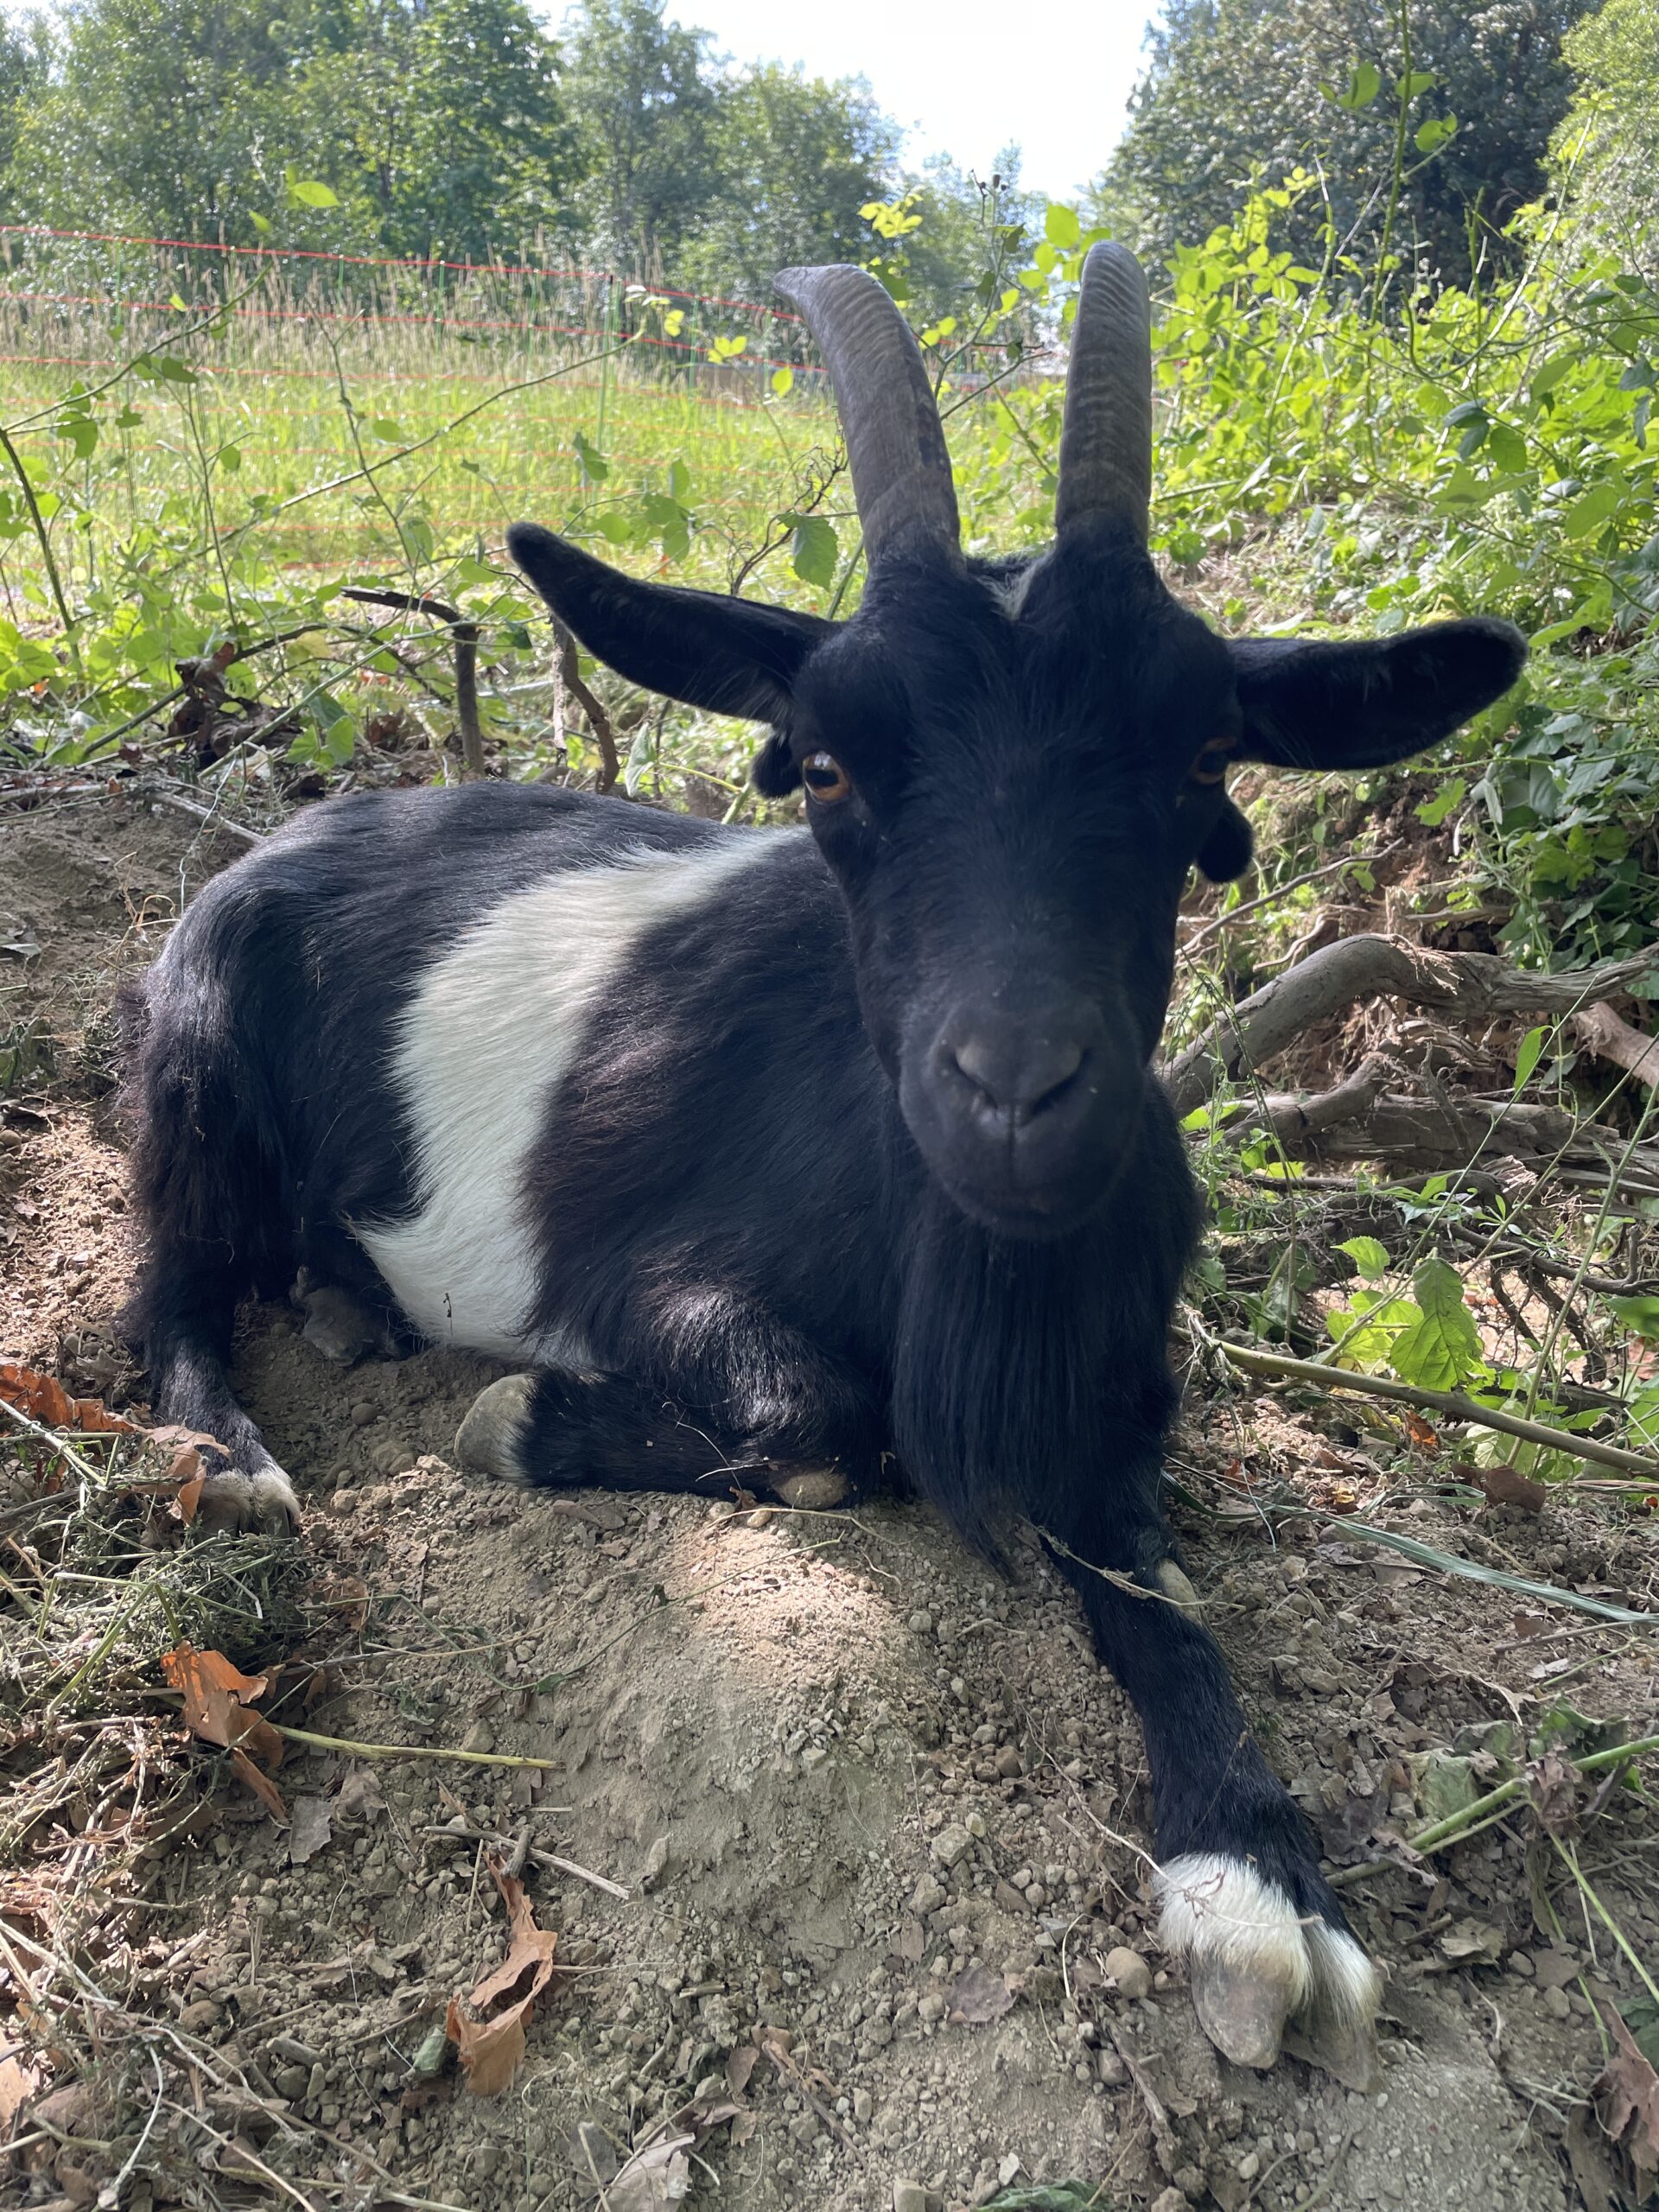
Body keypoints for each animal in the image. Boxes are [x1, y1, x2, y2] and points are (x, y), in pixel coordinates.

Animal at [124, 246, 1524, 2074]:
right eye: (833, 764)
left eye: (1198, 758)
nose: (1017, 1090)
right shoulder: (637, 1264)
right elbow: (818, 1427)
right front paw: (525, 1420)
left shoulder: (1114, 1398)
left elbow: (1161, 1589)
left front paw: (1258, 1880)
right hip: (194, 1059)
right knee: (161, 1278)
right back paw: (229, 1450)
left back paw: (344, 1306)